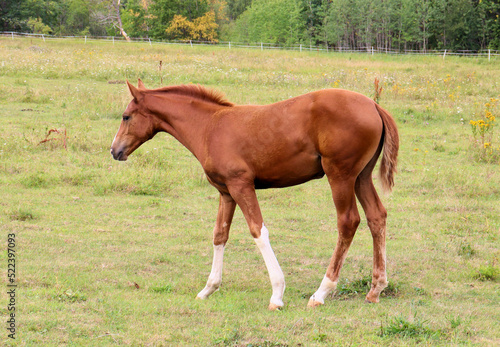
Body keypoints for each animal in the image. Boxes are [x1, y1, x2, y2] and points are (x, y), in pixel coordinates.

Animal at [110, 80, 398, 312]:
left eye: (126, 117)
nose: (114, 150)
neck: (210, 127)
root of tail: (374, 105)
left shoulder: (241, 185)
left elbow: (258, 231)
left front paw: (277, 295)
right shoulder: (226, 192)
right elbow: (220, 234)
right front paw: (208, 288)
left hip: (340, 175)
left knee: (348, 222)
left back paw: (321, 292)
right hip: (361, 177)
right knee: (377, 217)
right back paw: (376, 288)